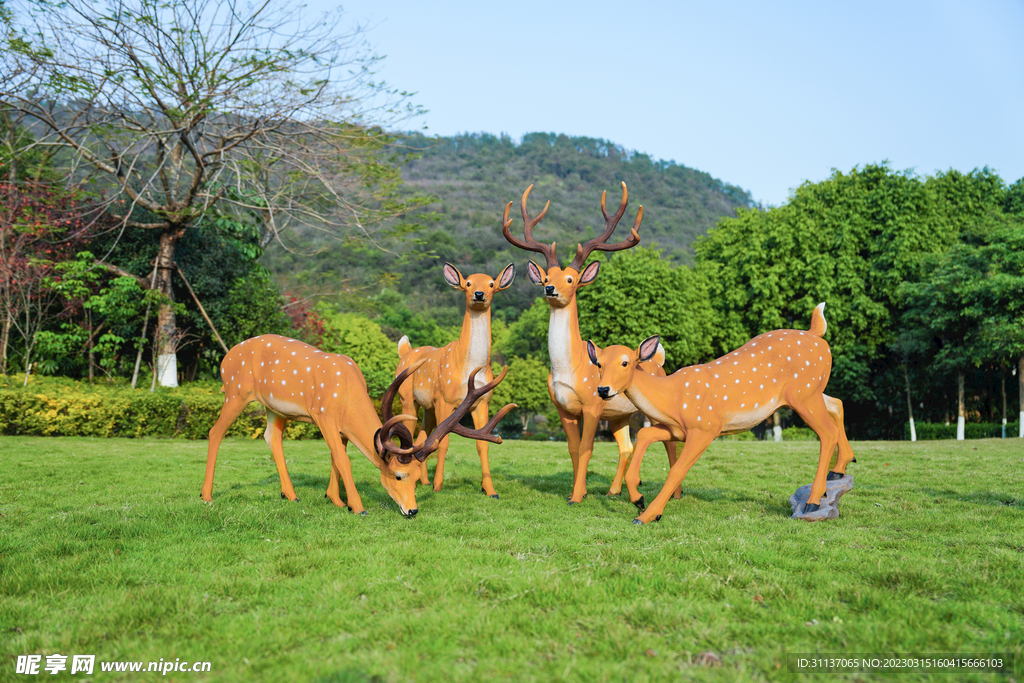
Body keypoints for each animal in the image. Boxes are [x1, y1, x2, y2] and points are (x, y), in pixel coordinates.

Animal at [200, 333, 516, 516]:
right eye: (399, 476)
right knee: (215, 431)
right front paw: (358, 507)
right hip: (235, 391)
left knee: (271, 437)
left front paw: (336, 500)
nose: (413, 510)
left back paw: (291, 495)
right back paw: (206, 495)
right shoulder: (323, 414)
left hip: (273, 408)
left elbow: (335, 457)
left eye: (417, 478)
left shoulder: (340, 427)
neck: (347, 394)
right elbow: (343, 459)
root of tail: (224, 359)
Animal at [395, 262, 516, 497]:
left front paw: (490, 490)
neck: (470, 368)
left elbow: (482, 443)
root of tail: (405, 352)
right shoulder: (445, 399)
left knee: (423, 435)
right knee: (411, 434)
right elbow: (443, 442)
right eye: (468, 283)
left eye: (491, 284)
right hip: (407, 398)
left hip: (429, 406)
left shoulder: (483, 402)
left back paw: (422, 481)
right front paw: (438, 486)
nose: (479, 294)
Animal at [501, 184, 684, 505]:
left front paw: (576, 496)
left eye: (571, 279)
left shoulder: (593, 404)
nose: (550, 289)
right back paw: (614, 491)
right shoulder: (563, 407)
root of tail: (658, 361)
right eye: (546, 277)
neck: (570, 368)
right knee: (626, 446)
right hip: (621, 414)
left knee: (669, 443)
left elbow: (588, 448)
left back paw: (675, 495)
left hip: (649, 408)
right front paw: (580, 491)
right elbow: (573, 450)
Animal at [585, 303, 856, 524]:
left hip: (803, 394)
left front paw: (647, 515)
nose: (603, 389)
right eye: (598, 364)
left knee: (827, 432)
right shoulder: (677, 430)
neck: (672, 399)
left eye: (625, 363)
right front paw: (638, 499)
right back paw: (840, 469)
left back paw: (813, 501)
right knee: (837, 404)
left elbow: (677, 469)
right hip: (811, 392)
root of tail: (817, 335)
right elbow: (643, 435)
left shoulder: (705, 427)